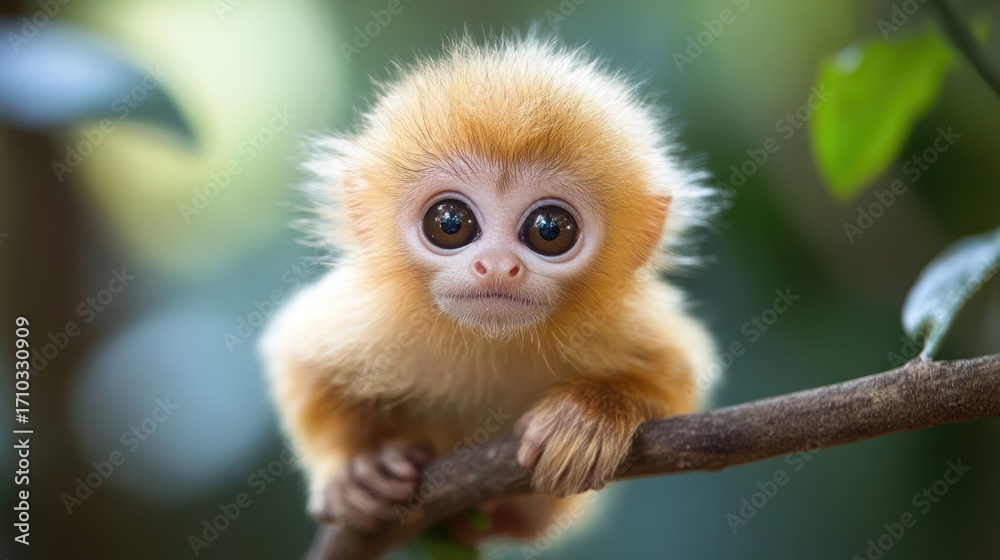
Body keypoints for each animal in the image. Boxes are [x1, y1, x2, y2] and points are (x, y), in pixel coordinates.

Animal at [259, 35, 718, 541]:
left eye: (550, 229)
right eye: (450, 223)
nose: (497, 266)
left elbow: (680, 374)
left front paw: (590, 416)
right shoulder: (367, 319)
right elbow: (300, 360)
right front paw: (357, 468)